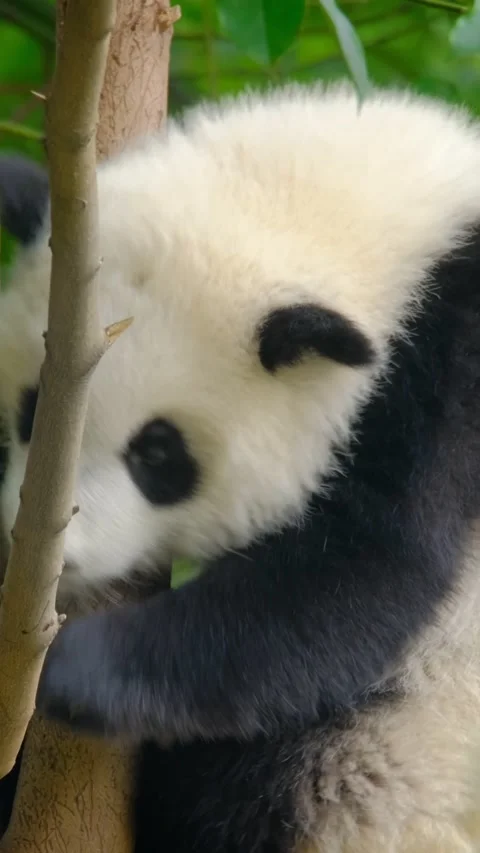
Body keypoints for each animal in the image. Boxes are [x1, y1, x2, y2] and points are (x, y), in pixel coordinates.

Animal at [1, 82, 480, 853]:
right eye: (35, 410)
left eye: (158, 454)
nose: (60, 558)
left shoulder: (445, 373)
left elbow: (358, 580)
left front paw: (70, 668)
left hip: (396, 754)